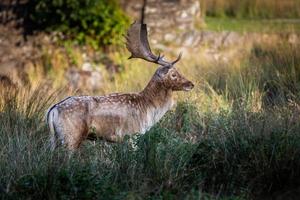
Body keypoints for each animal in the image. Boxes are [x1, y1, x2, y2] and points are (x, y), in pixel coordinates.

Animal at [45, 22, 193, 150]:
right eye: (173, 74)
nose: (191, 84)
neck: (149, 108)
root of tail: (53, 110)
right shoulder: (133, 134)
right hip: (72, 136)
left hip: (56, 139)